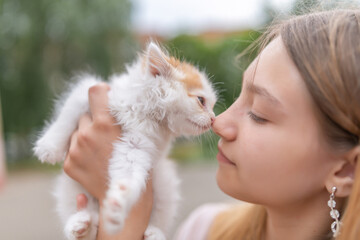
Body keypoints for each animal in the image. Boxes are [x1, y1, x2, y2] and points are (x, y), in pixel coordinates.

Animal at [33, 43, 217, 240]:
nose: (213, 118)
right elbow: (67, 115)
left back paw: (154, 233)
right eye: (201, 101)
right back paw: (79, 224)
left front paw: (117, 207)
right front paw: (49, 147)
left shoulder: (136, 146)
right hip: (69, 190)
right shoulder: (86, 92)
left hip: (165, 184)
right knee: (86, 221)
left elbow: (127, 180)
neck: (145, 113)